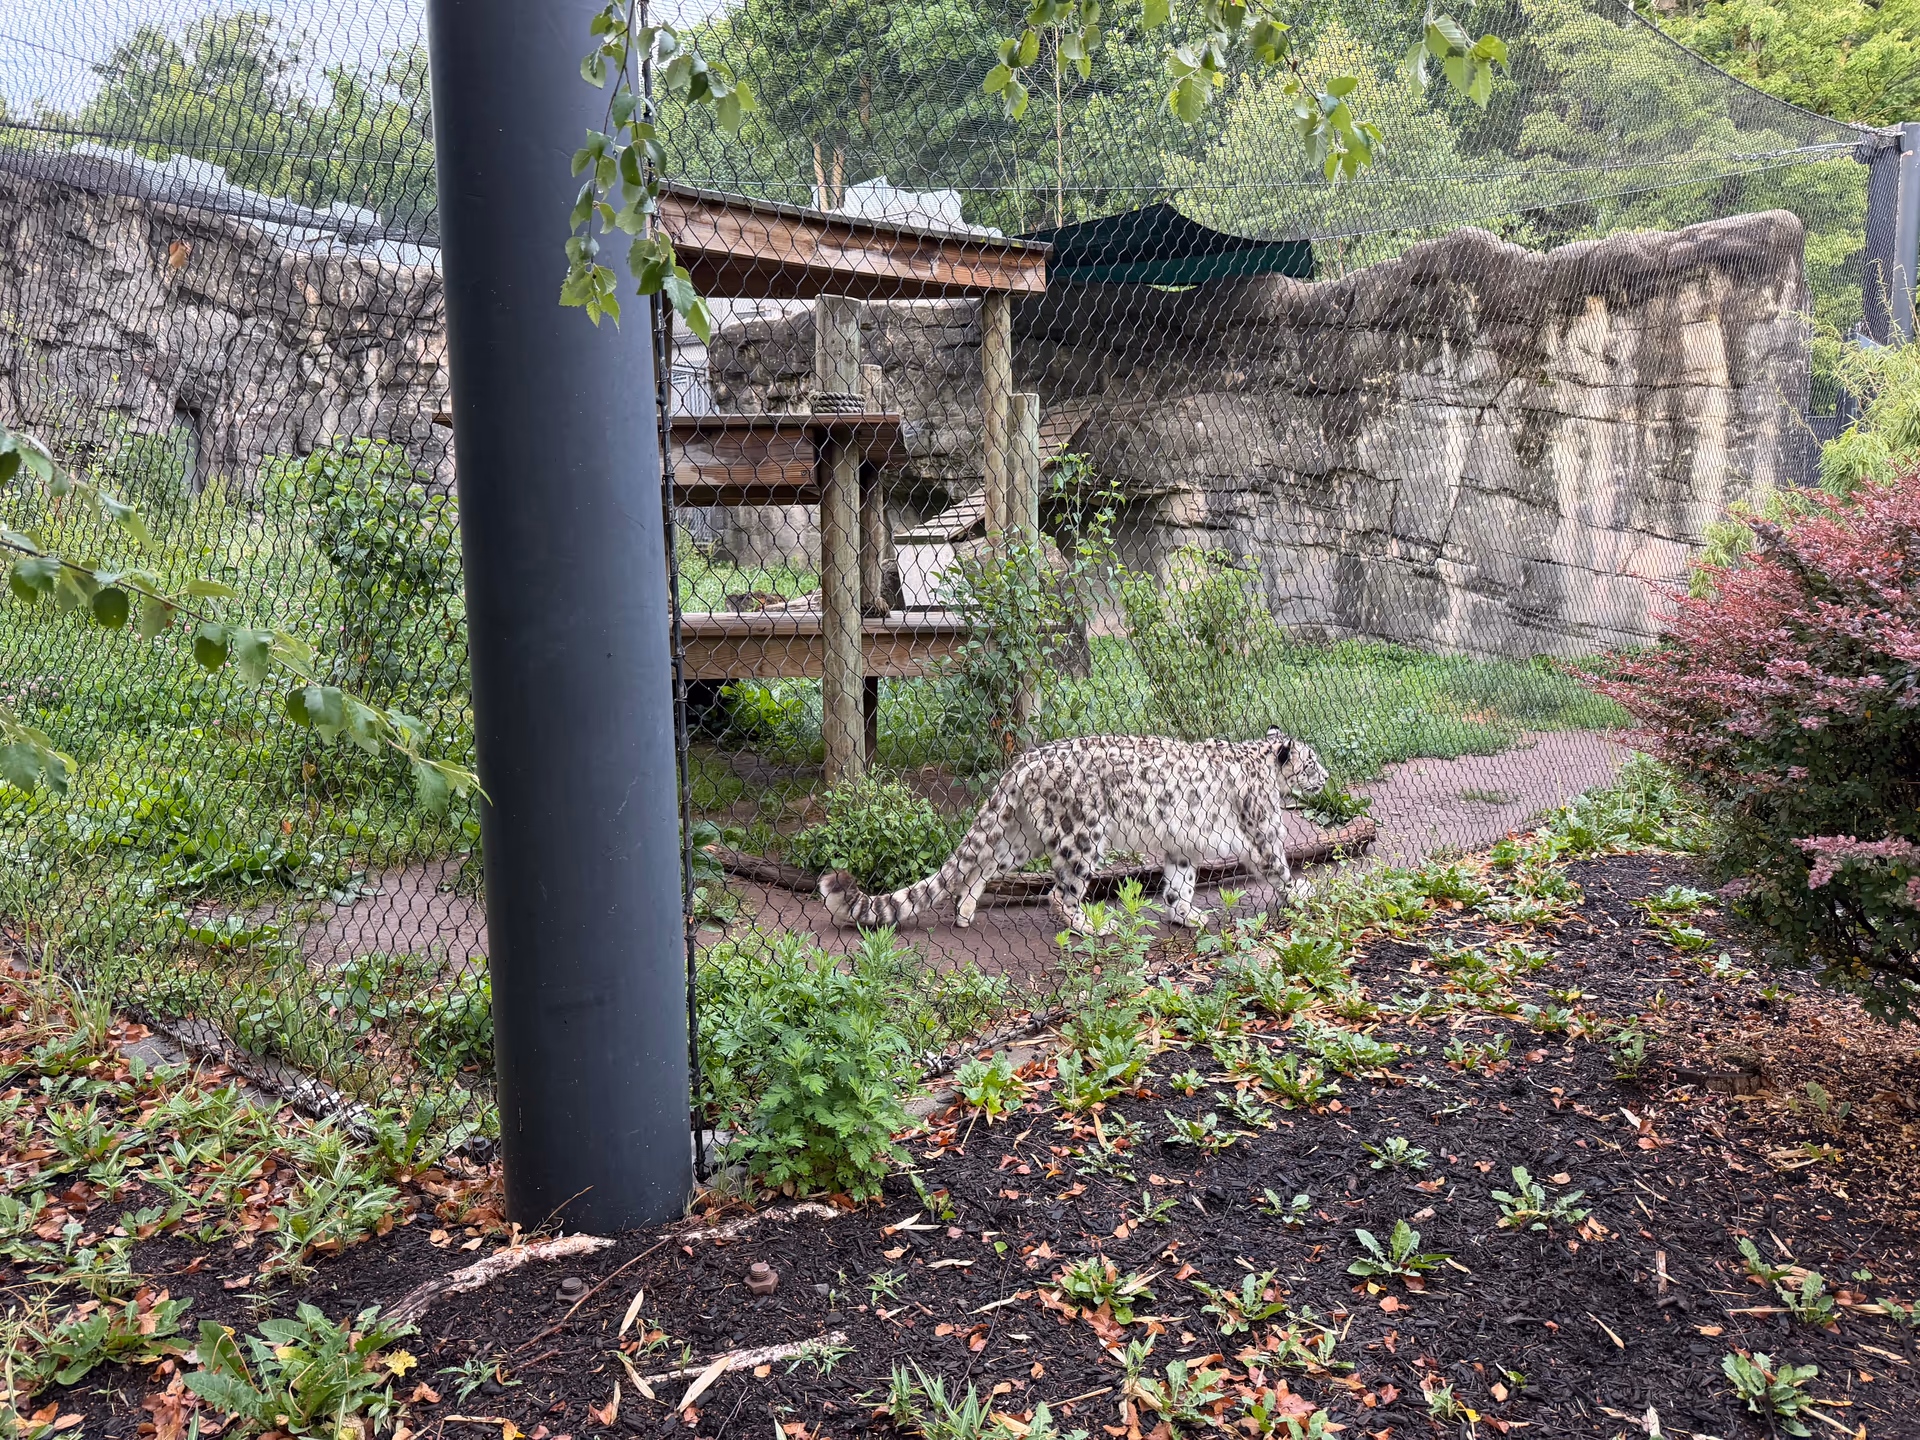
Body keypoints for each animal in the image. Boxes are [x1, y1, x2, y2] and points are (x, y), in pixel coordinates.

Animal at [818, 728, 1329, 934]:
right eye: (1312, 761)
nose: (1326, 776)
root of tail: (1025, 760)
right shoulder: (1262, 834)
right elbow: (1279, 868)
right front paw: (1305, 894)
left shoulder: (1179, 846)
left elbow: (1178, 885)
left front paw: (1187, 916)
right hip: (1081, 835)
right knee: (1059, 893)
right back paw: (1089, 926)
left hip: (1020, 837)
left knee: (979, 863)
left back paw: (964, 911)